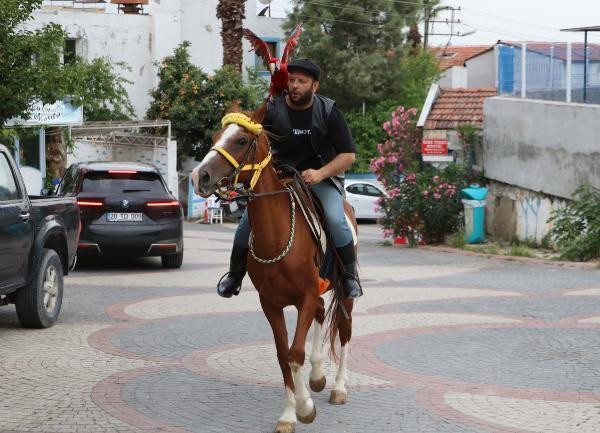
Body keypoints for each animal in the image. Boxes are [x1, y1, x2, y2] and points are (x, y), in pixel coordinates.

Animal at [190, 99, 354, 430]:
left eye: (241, 140)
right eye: (215, 137)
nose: (200, 177)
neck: (278, 235)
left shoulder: (304, 297)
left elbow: (295, 353)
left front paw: (304, 408)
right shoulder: (271, 303)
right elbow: (283, 355)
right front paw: (291, 413)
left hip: (345, 291)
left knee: (344, 330)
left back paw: (339, 387)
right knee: (321, 315)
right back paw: (317, 377)